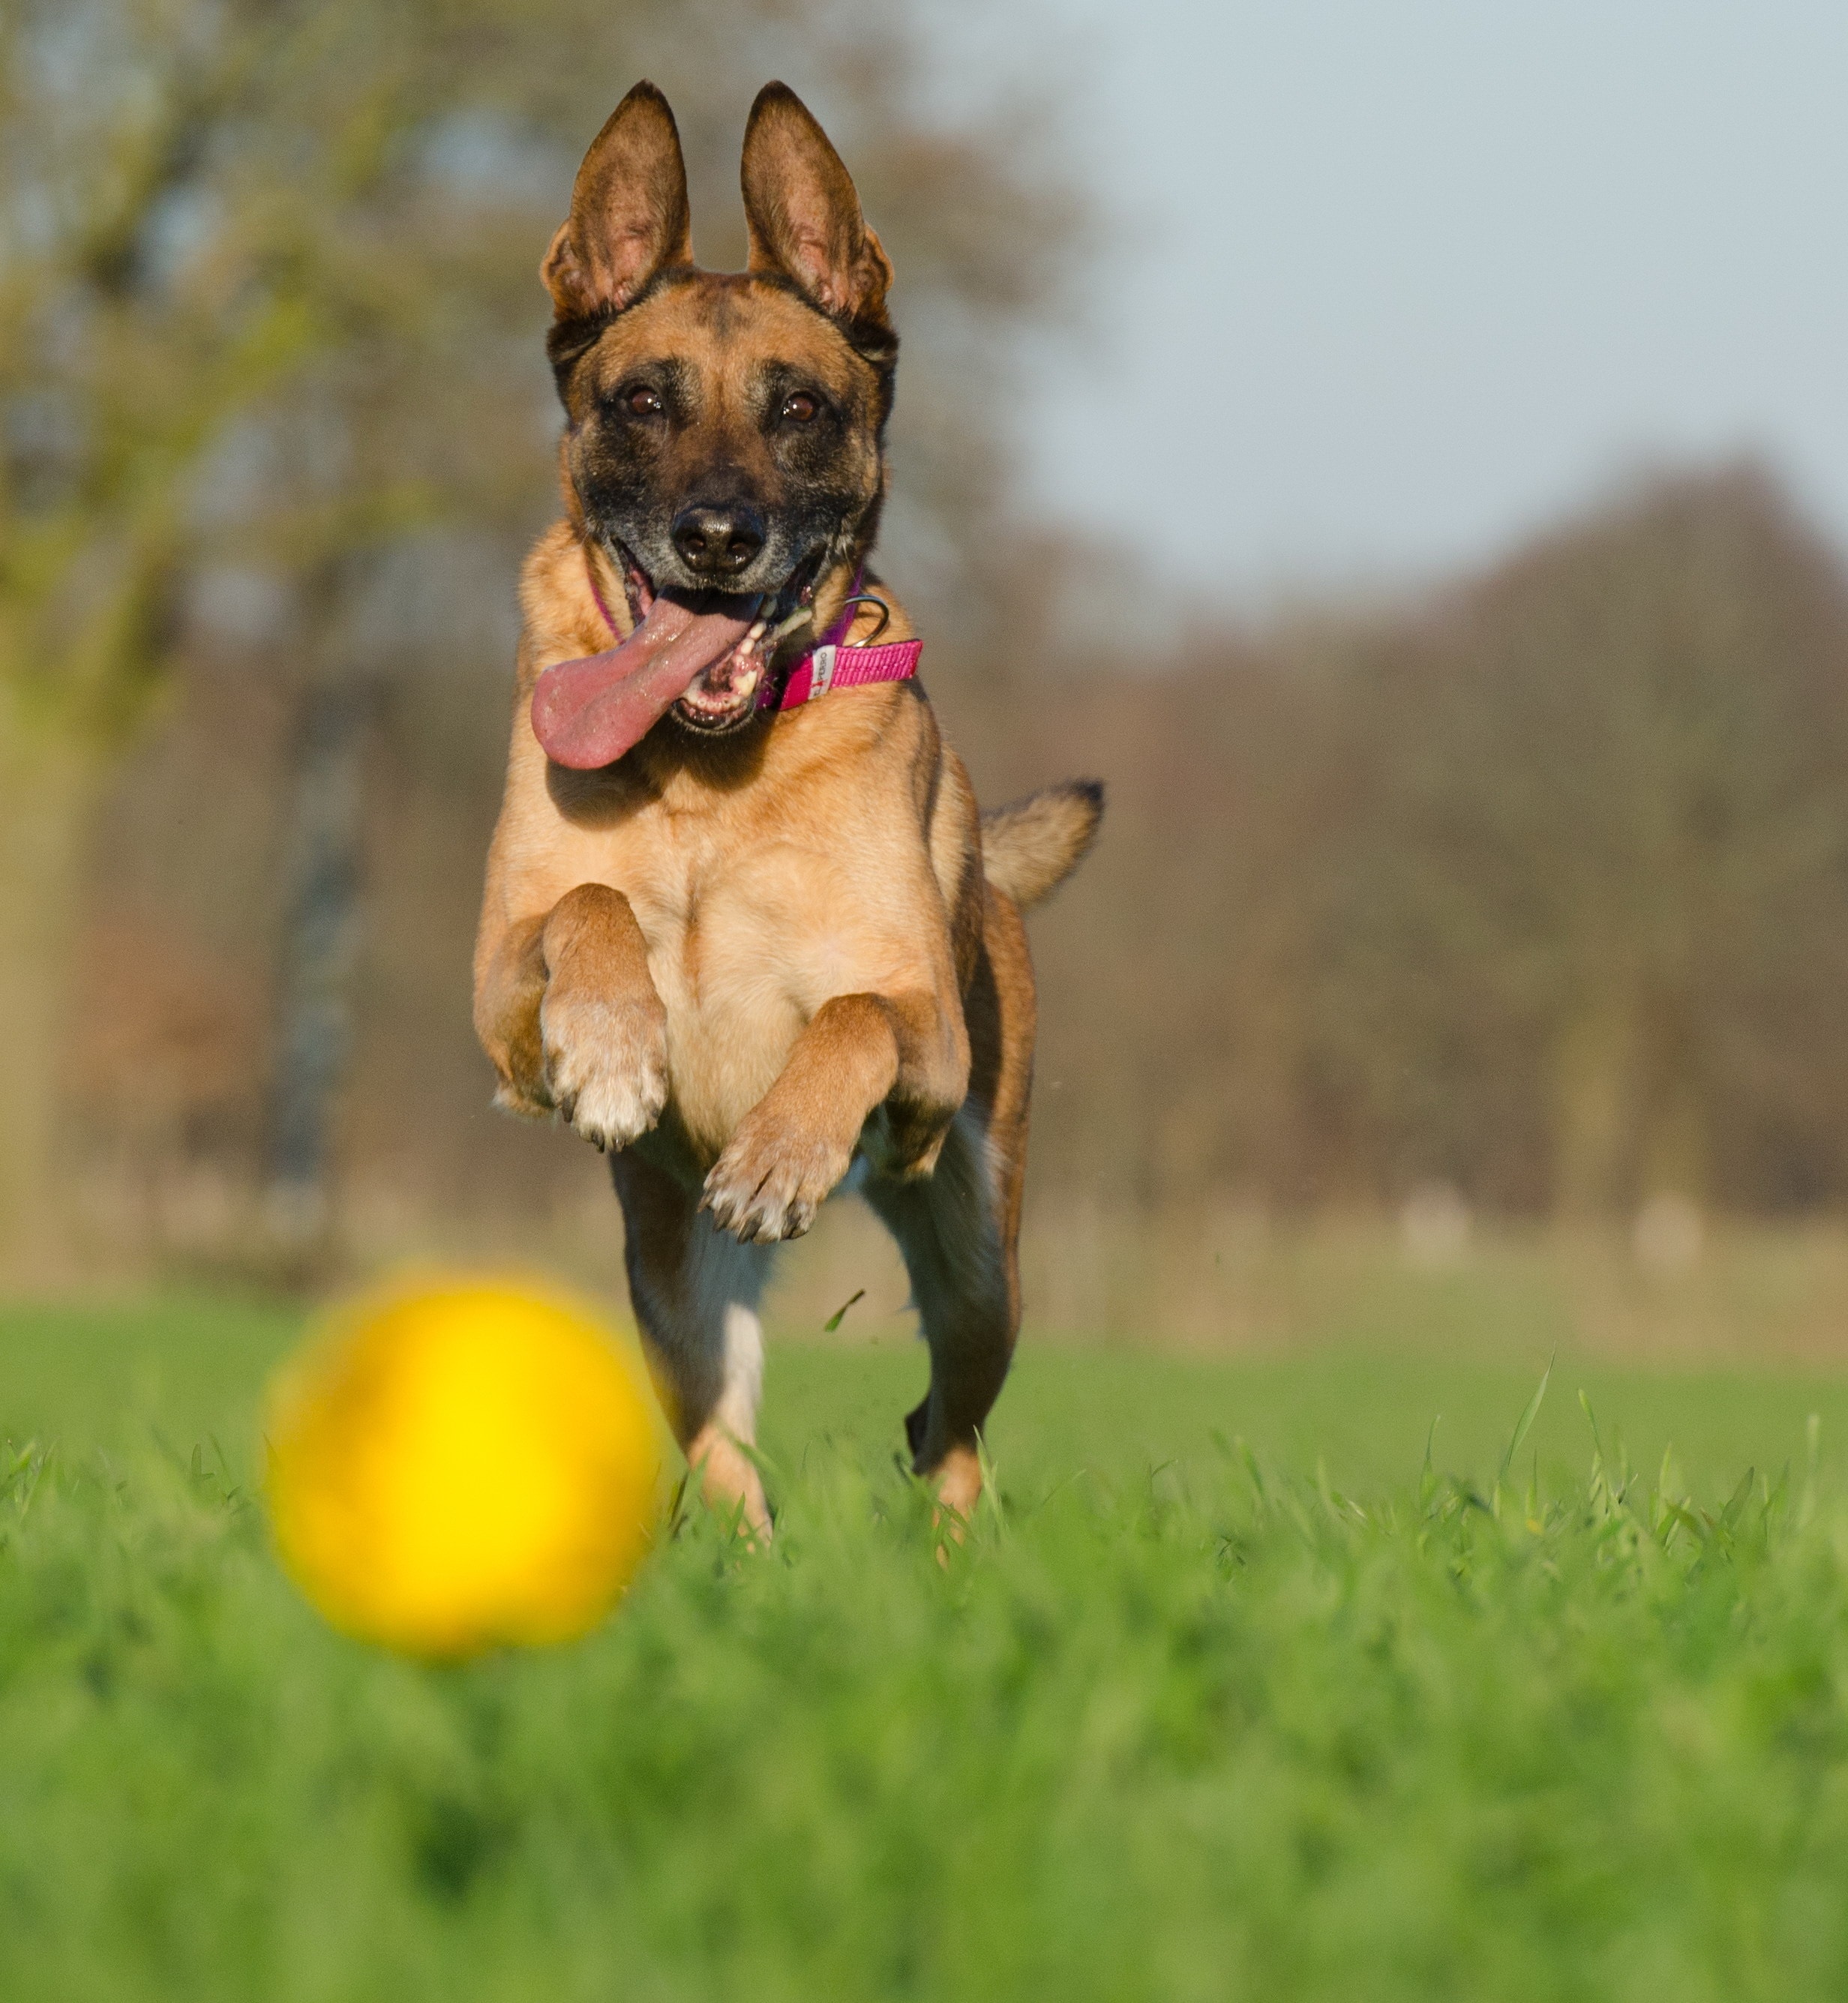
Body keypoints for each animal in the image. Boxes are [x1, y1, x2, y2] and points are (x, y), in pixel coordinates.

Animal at [476, 70, 1105, 1522]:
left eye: (799, 410)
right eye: (644, 402)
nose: (716, 538)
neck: (712, 782)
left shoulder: (924, 1036)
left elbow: (854, 1015)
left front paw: (775, 1152)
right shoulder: (495, 1008)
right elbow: (589, 902)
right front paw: (614, 1048)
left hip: (981, 1265)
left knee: (949, 1427)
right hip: (673, 1297)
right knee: (726, 1455)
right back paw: (746, 1562)